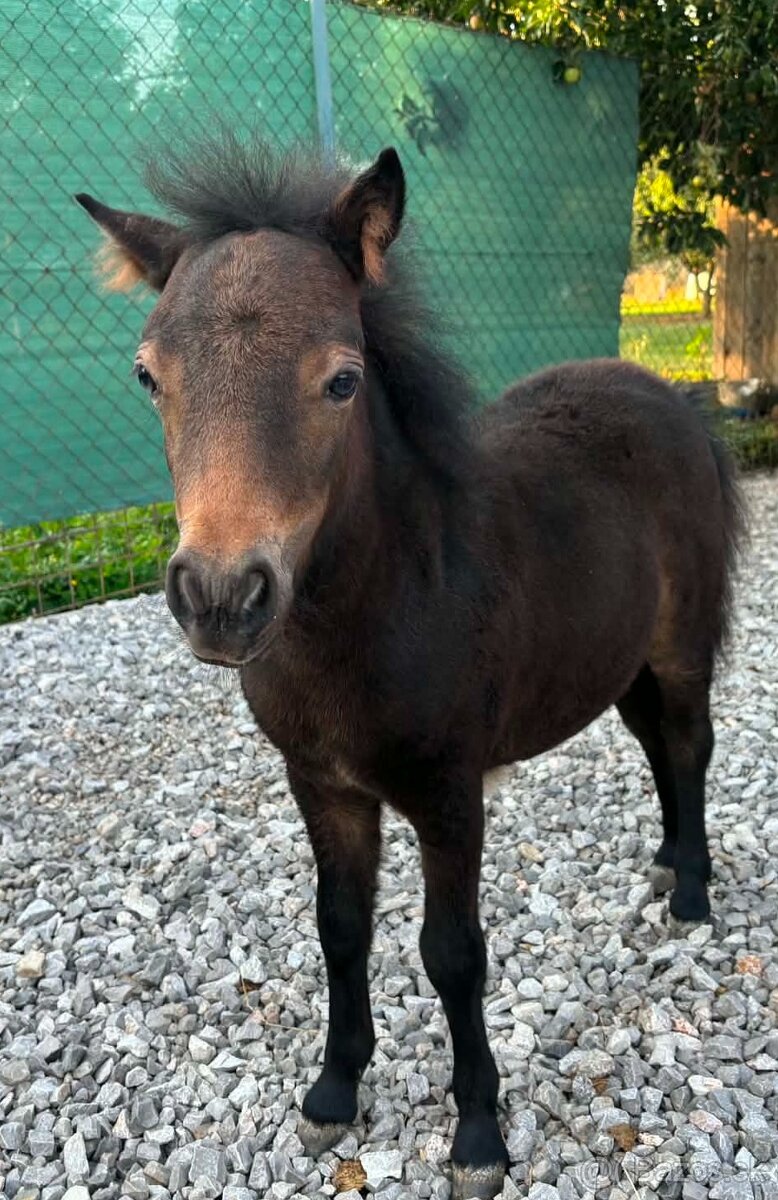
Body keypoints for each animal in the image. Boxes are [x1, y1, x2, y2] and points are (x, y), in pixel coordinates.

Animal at [77, 135, 743, 1200]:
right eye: (148, 375)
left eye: (343, 381)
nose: (220, 598)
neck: (381, 606)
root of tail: (668, 397)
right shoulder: (322, 784)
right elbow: (340, 928)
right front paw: (332, 1091)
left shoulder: (448, 791)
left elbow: (453, 953)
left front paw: (476, 1133)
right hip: (619, 661)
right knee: (656, 748)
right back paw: (668, 859)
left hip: (679, 646)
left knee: (690, 743)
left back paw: (691, 894)